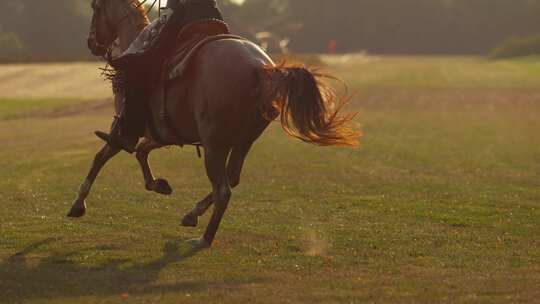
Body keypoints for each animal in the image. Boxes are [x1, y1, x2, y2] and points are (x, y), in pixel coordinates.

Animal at [69, 0, 360, 248]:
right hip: (242, 141)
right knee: (232, 178)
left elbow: (101, 157)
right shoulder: (163, 133)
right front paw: (159, 185)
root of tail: (260, 69)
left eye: (95, 7)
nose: (91, 42)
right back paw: (192, 214)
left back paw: (204, 239)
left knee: (223, 189)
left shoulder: (123, 128)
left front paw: (78, 204)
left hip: (214, 144)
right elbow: (141, 152)